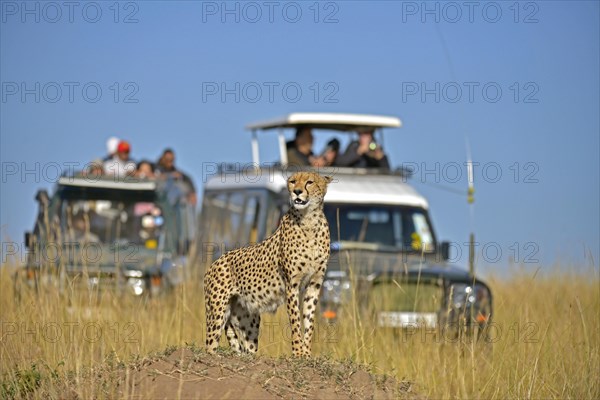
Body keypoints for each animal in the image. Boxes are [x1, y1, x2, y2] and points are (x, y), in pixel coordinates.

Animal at [203, 171, 332, 356]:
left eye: (309, 182)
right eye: (293, 182)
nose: (297, 192)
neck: (309, 220)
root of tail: (214, 263)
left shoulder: (314, 284)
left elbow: (309, 321)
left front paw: (306, 353)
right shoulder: (291, 285)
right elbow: (295, 321)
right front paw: (298, 352)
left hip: (248, 319)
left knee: (247, 347)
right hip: (217, 313)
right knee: (210, 345)